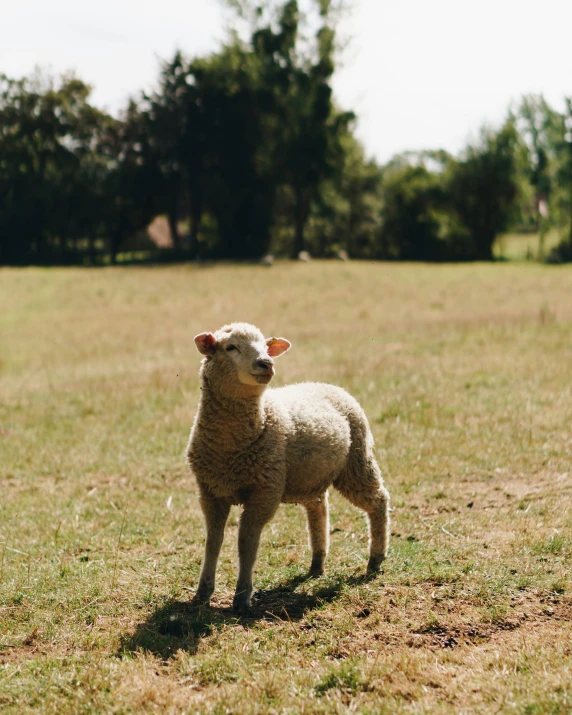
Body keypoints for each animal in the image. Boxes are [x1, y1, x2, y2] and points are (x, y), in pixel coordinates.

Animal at [185, 322, 392, 612]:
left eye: (265, 345)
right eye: (230, 347)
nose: (266, 363)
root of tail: (324, 385)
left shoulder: (265, 492)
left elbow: (246, 542)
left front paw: (242, 596)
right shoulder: (210, 492)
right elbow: (213, 541)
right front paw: (203, 592)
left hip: (357, 461)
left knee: (378, 501)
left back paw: (375, 559)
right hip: (312, 477)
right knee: (319, 509)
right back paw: (317, 563)